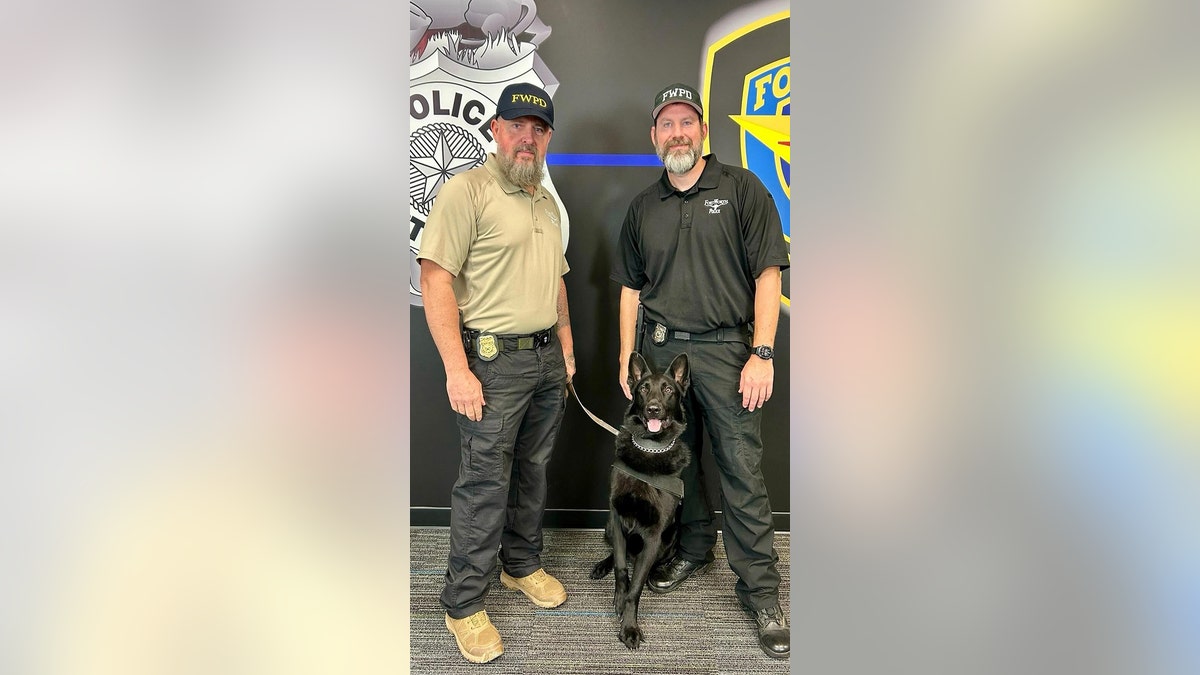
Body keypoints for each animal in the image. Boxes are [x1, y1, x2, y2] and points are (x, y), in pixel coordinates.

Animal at [592, 348, 696, 648]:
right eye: (643, 388)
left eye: (668, 390)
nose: (653, 408)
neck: (649, 450)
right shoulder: (617, 518)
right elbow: (620, 568)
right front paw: (618, 598)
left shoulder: (653, 535)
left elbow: (636, 587)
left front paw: (629, 626)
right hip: (608, 525)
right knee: (617, 552)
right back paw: (601, 566)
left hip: (669, 540)